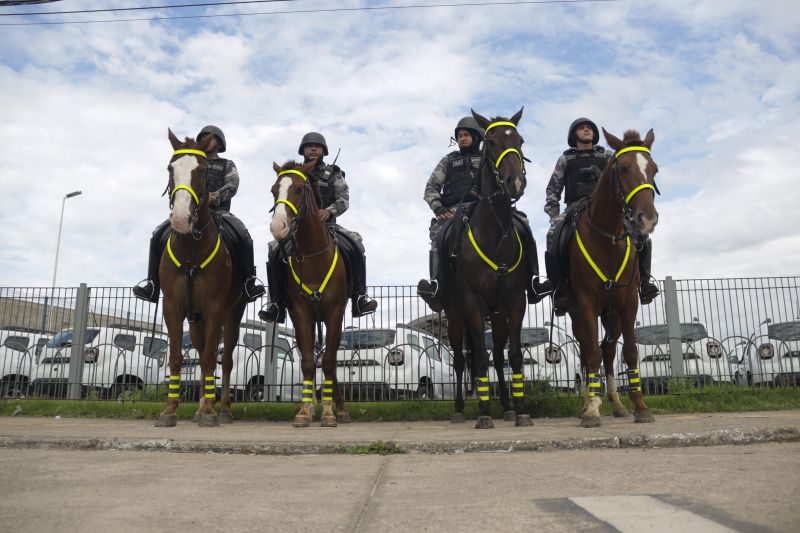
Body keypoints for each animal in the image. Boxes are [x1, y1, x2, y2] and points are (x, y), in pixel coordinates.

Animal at [154, 130, 247, 428]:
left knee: (225, 359)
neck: (192, 248)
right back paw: (201, 406)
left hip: (232, 313)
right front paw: (170, 410)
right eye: (170, 168)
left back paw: (223, 409)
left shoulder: (216, 306)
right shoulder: (173, 306)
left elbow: (209, 358)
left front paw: (210, 413)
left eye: (203, 170)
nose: (181, 218)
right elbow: (176, 356)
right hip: (196, 318)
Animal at [268, 160, 350, 426]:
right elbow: (306, 361)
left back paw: (340, 408)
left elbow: (330, 362)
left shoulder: (334, 314)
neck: (313, 255)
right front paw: (305, 410)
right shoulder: (301, 314)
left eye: (298, 190)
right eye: (274, 190)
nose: (278, 227)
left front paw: (330, 412)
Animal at [440, 108, 536, 428]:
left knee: (496, 356)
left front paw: (520, 410)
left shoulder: (514, 301)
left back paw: (505, 405)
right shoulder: (472, 303)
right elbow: (479, 357)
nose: (515, 183)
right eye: (491, 142)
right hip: (455, 315)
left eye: (520, 140)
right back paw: (459, 409)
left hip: (496, 315)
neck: (495, 234)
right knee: (460, 359)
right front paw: (483, 413)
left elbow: (512, 356)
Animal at [564, 127, 660, 426]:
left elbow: (629, 351)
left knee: (607, 350)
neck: (608, 237)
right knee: (588, 350)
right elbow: (591, 353)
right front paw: (592, 410)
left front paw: (640, 406)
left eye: (654, 169)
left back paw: (617, 405)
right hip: (580, 316)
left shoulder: (628, 302)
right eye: (625, 168)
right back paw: (588, 403)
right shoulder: (585, 304)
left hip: (612, 316)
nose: (647, 219)